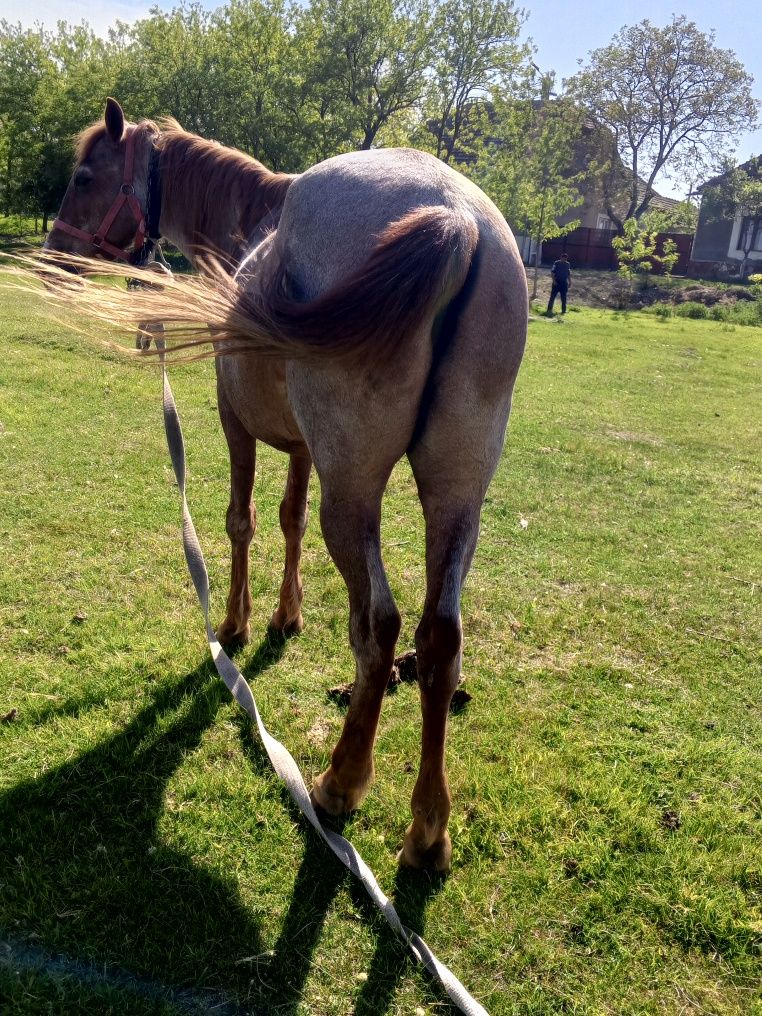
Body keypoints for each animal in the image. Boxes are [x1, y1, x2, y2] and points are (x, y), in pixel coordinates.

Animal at [43, 97, 532, 873]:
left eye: (85, 176)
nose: (54, 256)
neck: (255, 222)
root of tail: (454, 216)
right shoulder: (304, 449)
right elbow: (288, 520)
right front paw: (285, 615)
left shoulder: (233, 418)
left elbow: (242, 519)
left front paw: (236, 624)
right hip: (456, 497)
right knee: (439, 640)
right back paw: (428, 829)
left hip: (354, 494)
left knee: (379, 627)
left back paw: (340, 783)